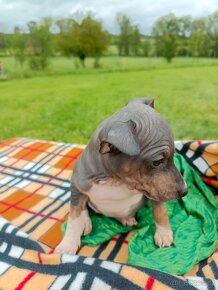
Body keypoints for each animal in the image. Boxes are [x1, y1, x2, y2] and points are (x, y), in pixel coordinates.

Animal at [55, 98, 187, 255]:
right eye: (157, 162)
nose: (185, 191)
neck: (116, 181)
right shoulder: (76, 186)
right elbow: (74, 218)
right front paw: (68, 244)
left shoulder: (156, 191)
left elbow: (160, 211)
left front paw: (164, 233)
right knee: (83, 207)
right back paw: (86, 222)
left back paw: (126, 219)